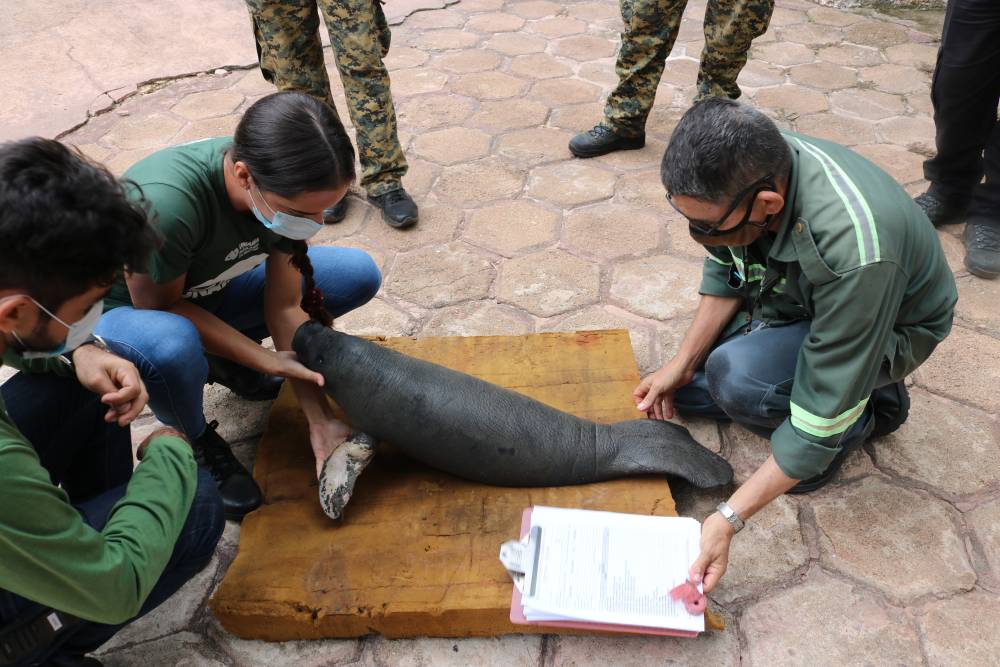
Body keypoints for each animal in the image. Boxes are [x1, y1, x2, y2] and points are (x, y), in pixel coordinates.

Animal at [292, 324, 732, 500]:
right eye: (328, 334)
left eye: (320, 356)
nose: (303, 328)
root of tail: (617, 442)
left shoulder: (369, 421)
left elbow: (350, 453)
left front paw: (331, 503)